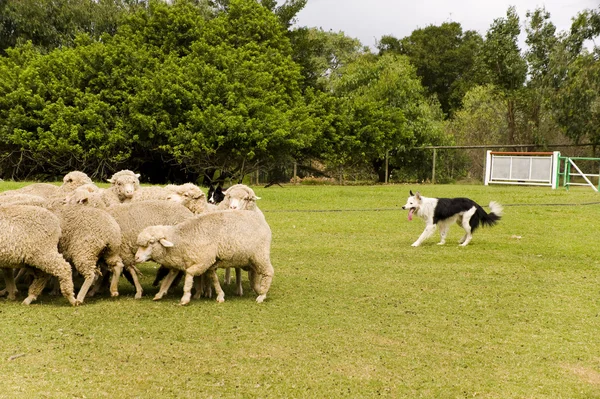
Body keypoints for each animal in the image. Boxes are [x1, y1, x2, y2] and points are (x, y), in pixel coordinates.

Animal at [135, 211, 274, 304]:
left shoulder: (203, 261)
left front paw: (185, 297)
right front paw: (159, 294)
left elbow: (189, 274)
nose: (136, 258)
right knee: (255, 275)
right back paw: (259, 290)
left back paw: (261, 296)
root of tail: (260, 218)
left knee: (269, 272)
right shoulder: (204, 263)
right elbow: (213, 279)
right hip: (251, 260)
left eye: (151, 242)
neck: (181, 239)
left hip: (260, 254)